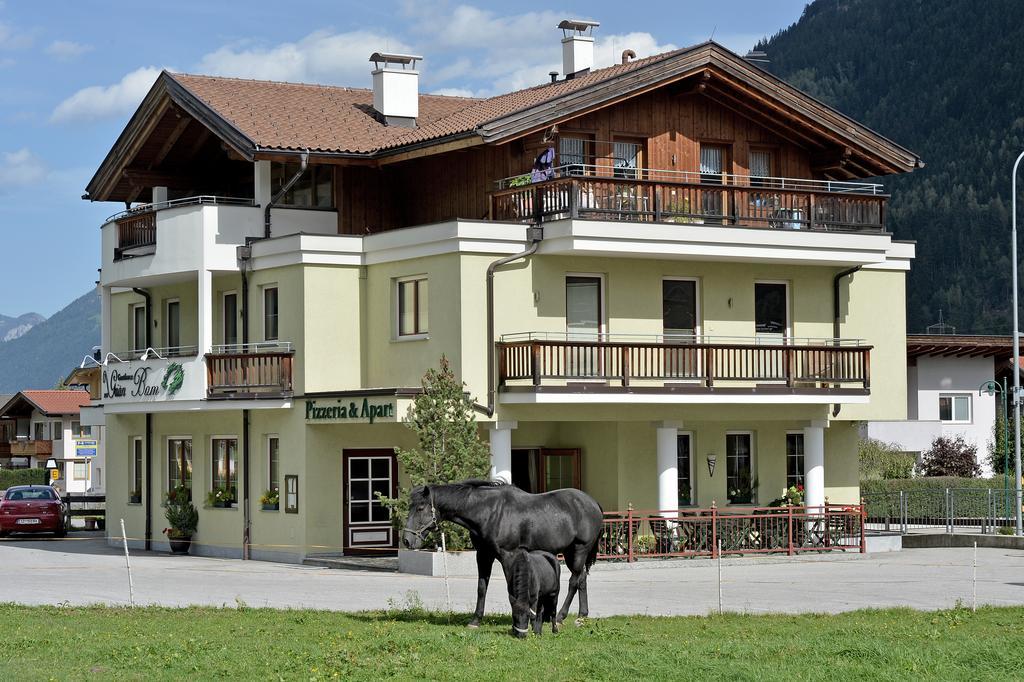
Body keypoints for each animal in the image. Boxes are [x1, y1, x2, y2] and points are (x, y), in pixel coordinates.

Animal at [401, 481, 606, 622]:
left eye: (420, 508)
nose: (406, 540)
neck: (489, 512)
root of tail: (593, 503)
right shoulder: (484, 555)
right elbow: (481, 587)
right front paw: (475, 620)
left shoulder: (508, 556)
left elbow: (512, 587)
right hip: (572, 552)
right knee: (582, 579)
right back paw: (582, 615)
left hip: (579, 550)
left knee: (574, 582)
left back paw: (560, 616)